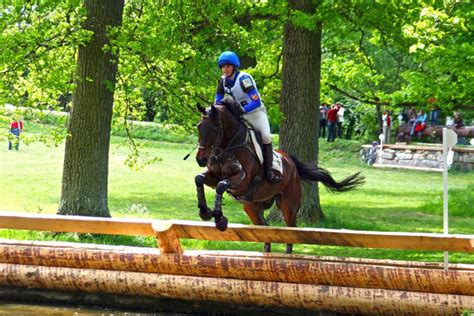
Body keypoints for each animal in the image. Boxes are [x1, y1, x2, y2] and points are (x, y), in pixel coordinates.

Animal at [194, 103, 364, 254]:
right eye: (199, 127)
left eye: (214, 129)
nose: (201, 159)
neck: (228, 147)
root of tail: (291, 163)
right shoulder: (213, 176)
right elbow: (199, 178)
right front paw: (205, 211)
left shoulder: (242, 181)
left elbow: (221, 185)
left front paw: (219, 218)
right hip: (252, 207)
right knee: (266, 228)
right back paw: (267, 252)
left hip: (288, 205)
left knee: (290, 229)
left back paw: (287, 254)